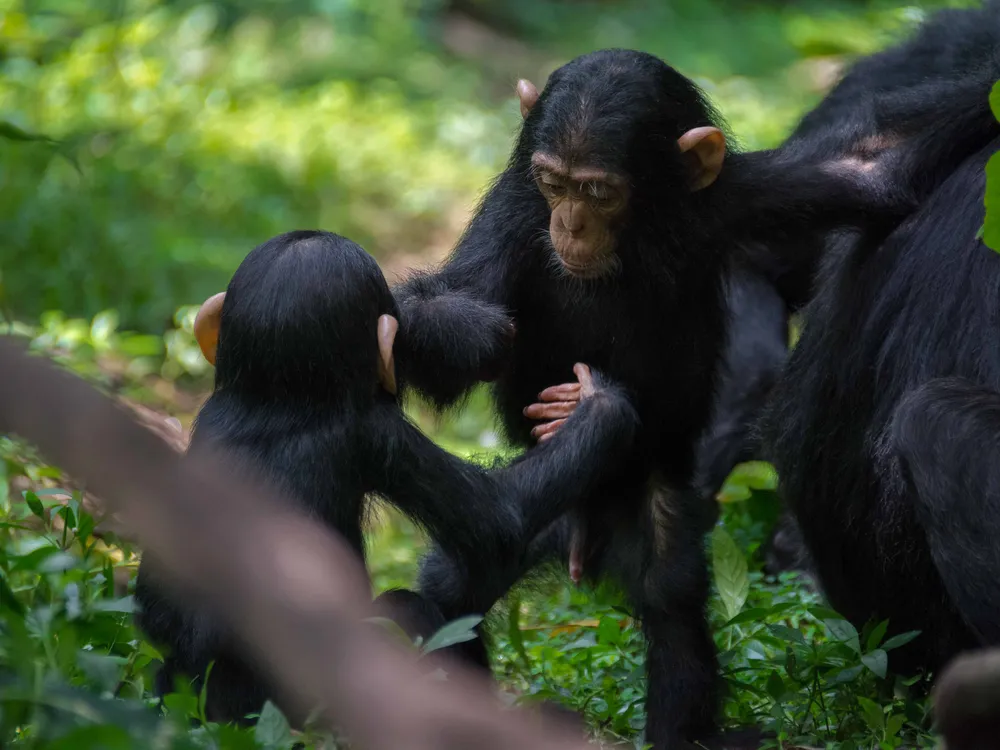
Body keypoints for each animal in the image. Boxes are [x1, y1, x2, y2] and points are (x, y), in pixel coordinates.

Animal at [133, 231, 636, 728]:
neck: (274, 403)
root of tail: (213, 718)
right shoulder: (375, 434)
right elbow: (499, 518)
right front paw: (602, 404)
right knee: (407, 609)